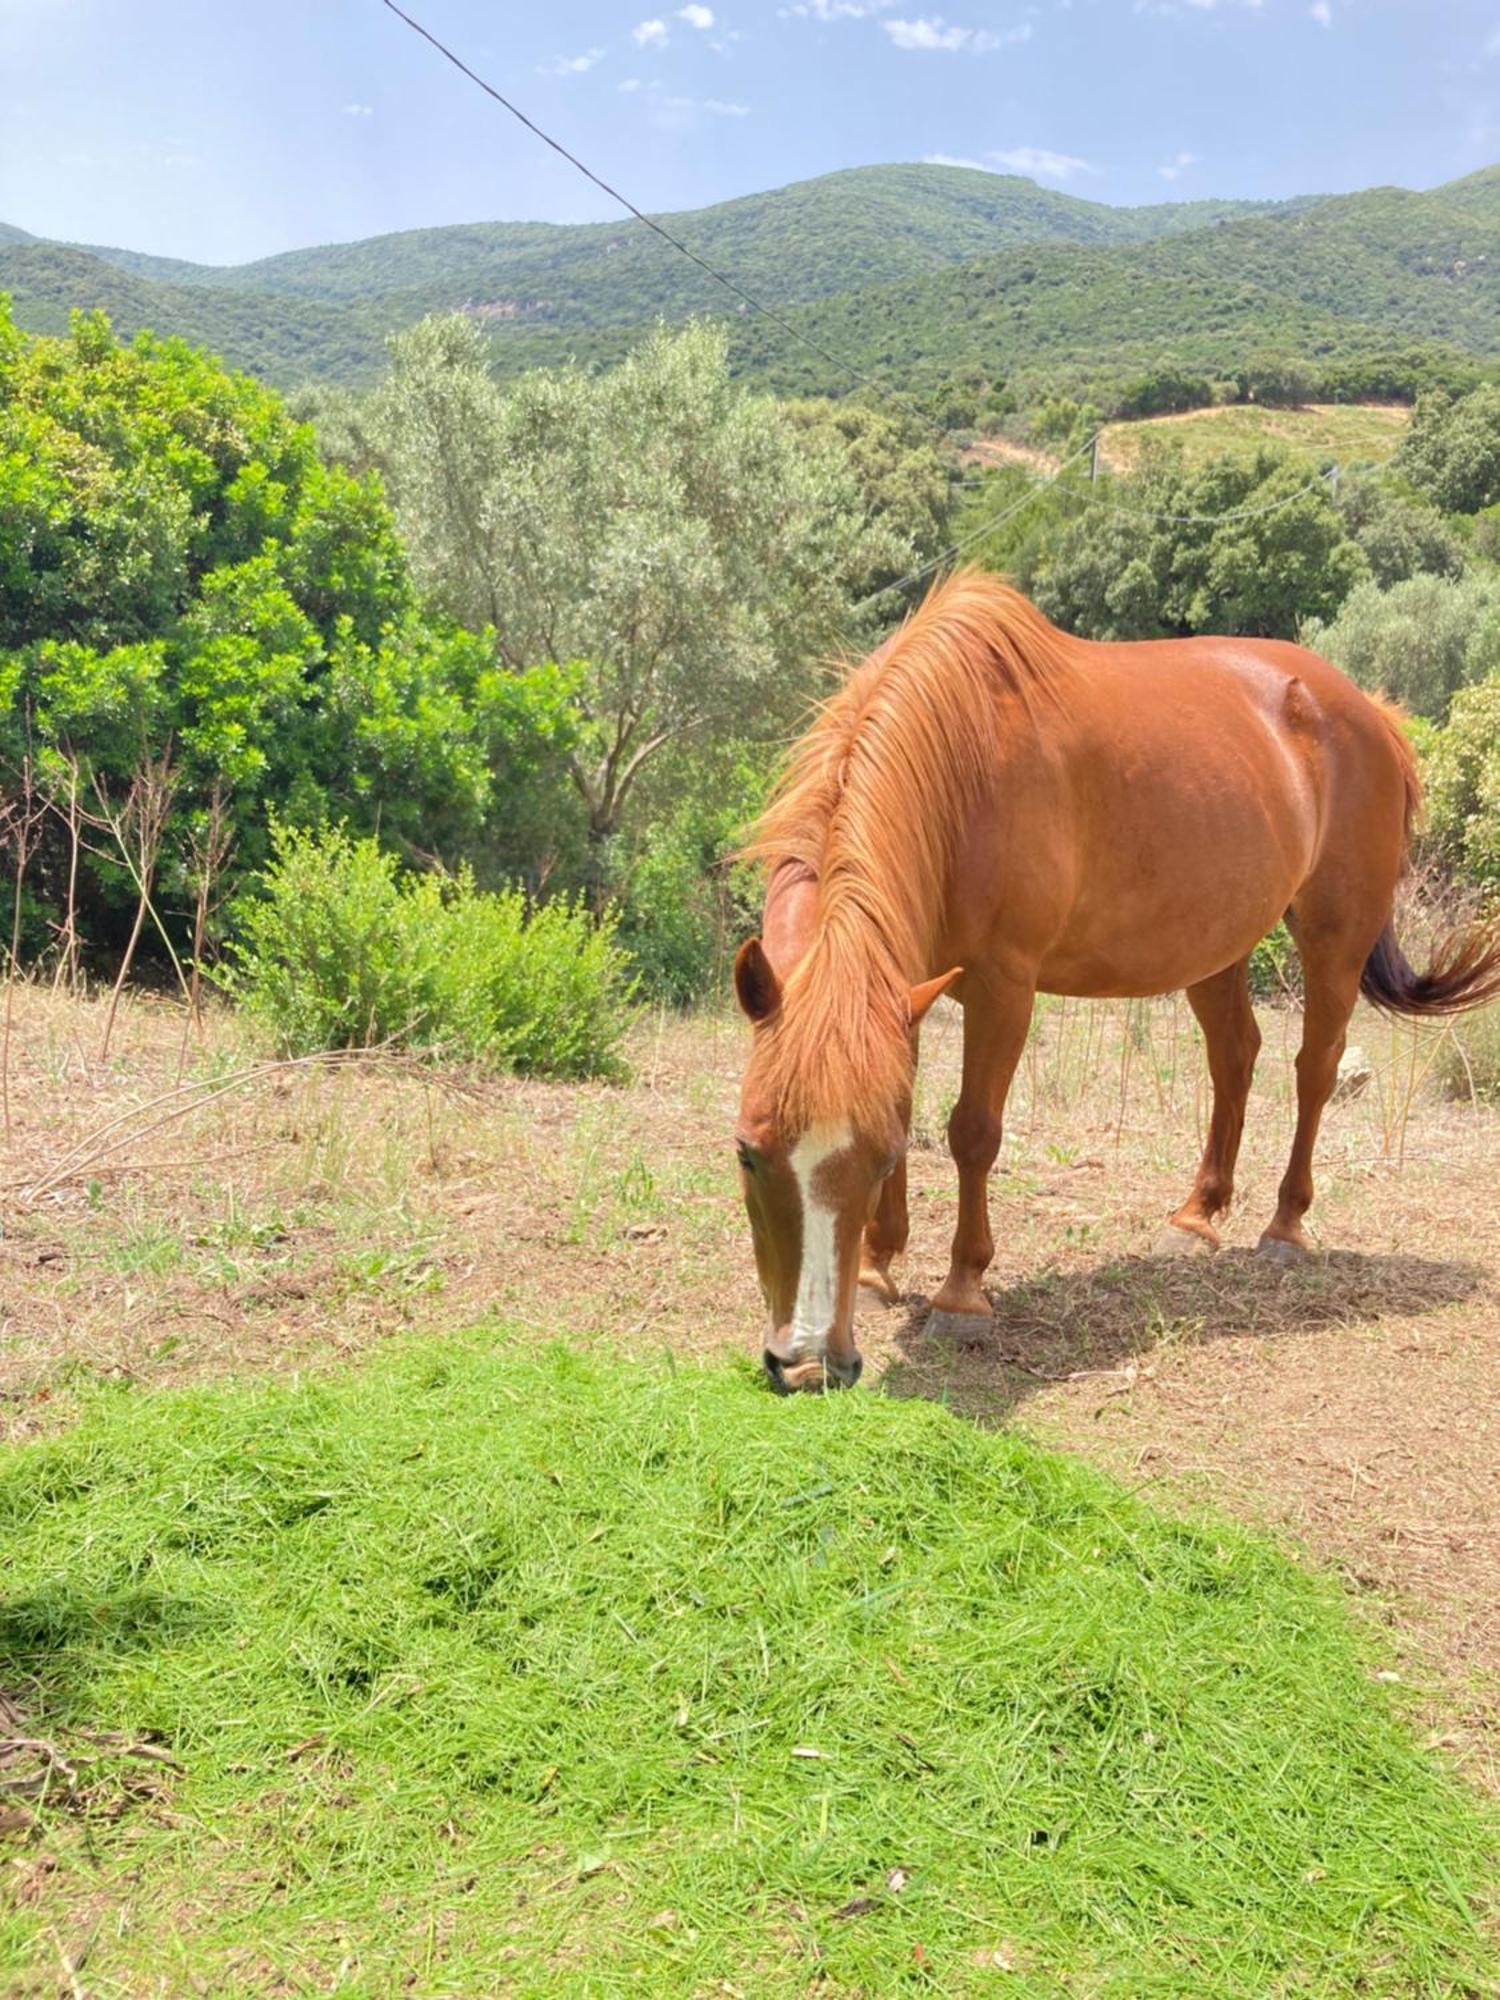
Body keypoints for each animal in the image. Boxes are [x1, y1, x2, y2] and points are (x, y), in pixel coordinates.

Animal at [736, 572, 1500, 1392]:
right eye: (746, 1151)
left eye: (870, 1163)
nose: (808, 1365)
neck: (960, 768)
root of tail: (1372, 712)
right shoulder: (904, 987)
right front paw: (879, 1267)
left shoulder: (1003, 986)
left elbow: (972, 1133)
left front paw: (961, 1293)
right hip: (1215, 943)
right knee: (1235, 1057)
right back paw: (1196, 1217)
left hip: (1334, 937)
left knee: (1314, 1069)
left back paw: (1284, 1225)